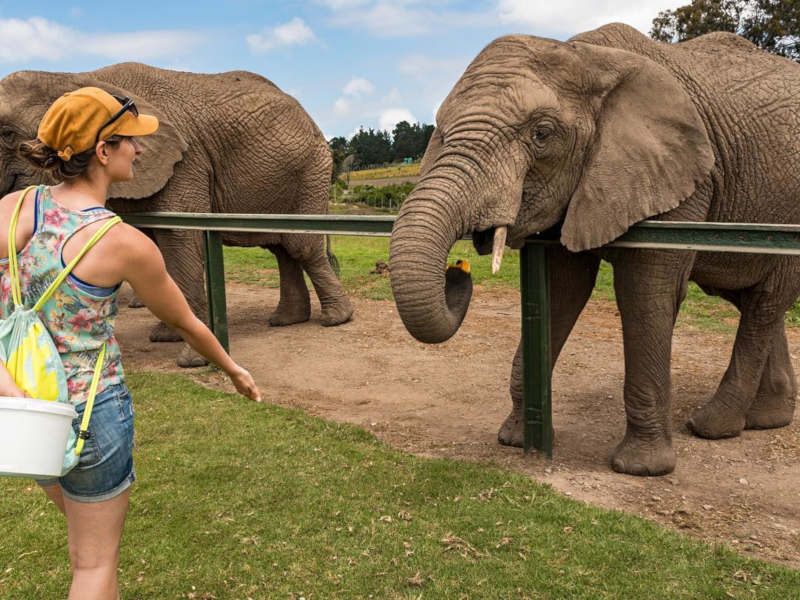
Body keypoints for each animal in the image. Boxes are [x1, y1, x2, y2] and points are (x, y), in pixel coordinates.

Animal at [0, 63, 354, 368]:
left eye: (6, 135)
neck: (76, 77)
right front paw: (165, 336)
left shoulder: (186, 161)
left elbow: (180, 240)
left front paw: (191, 360)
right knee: (280, 248)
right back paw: (285, 320)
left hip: (311, 170)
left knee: (299, 245)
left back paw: (335, 319)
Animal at [390, 23, 800, 478]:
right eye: (441, 131)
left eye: (542, 133)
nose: (457, 270)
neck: (586, 56)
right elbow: (562, 289)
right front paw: (516, 440)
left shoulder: (681, 178)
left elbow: (645, 292)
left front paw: (640, 469)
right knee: (753, 300)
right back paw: (764, 419)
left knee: (765, 302)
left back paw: (712, 426)